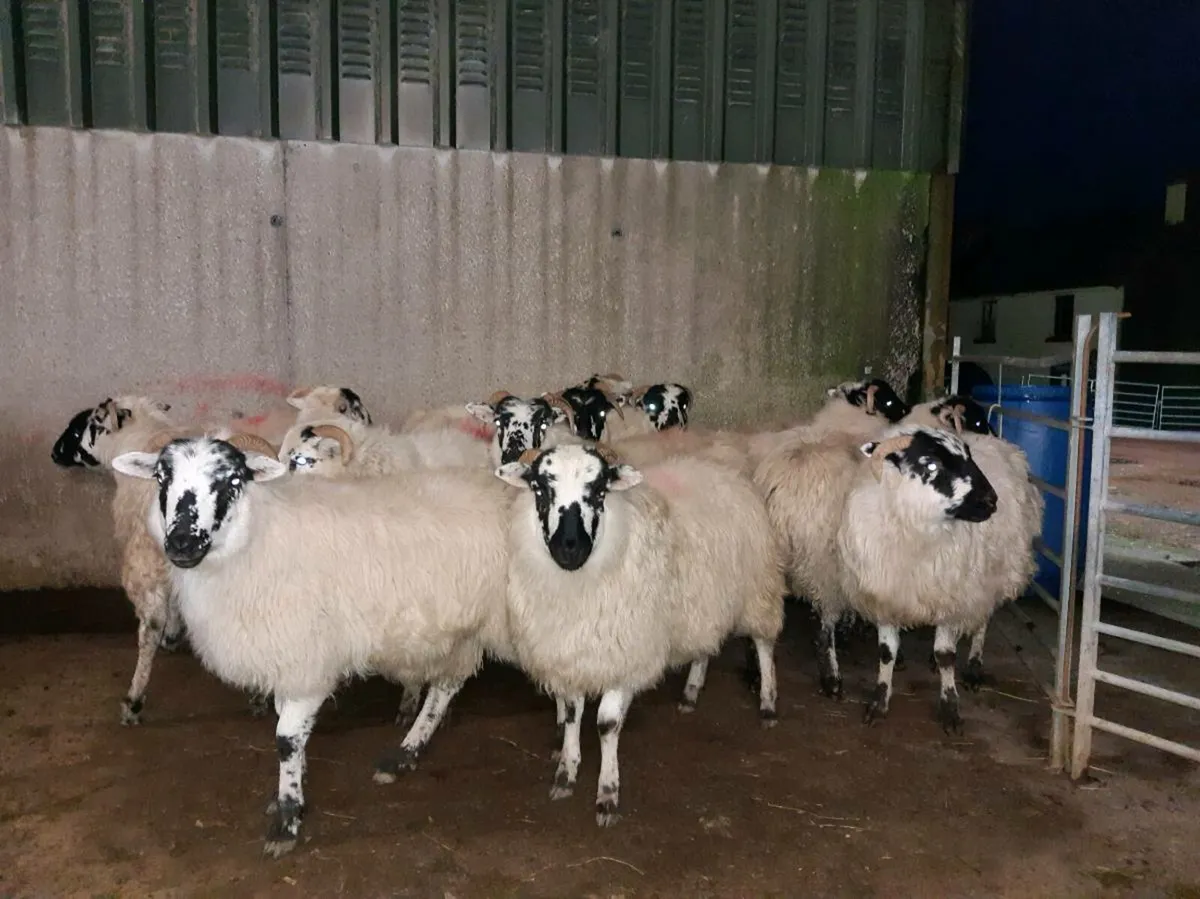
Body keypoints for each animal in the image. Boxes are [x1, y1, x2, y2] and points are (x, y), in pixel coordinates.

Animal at [50, 396, 279, 724]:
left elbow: (163, 613)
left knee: (150, 626)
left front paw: (170, 636)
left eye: (79, 428)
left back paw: (134, 699)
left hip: (145, 561)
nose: (54, 453)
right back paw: (259, 692)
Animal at [111, 434, 515, 857]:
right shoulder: (287, 658)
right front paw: (293, 794)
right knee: (446, 685)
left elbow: (287, 738)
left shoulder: (308, 658)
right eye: (161, 477)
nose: (182, 544)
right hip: (459, 630)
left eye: (233, 480)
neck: (258, 538)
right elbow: (291, 727)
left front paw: (287, 818)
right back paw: (406, 753)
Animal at [495, 443, 786, 827]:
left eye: (598, 492)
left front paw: (607, 794)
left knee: (765, 643)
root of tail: (724, 470)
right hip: (702, 602)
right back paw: (691, 692)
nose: (569, 548)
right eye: (541, 490)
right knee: (704, 647)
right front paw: (566, 774)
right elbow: (572, 715)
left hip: (758, 588)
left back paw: (767, 703)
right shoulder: (571, 654)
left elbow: (606, 724)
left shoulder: (626, 652)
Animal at [838, 425, 1040, 733]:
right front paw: (879, 700)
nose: (991, 501)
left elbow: (946, 655)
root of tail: (1003, 444)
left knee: (981, 622)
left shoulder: (952, 594)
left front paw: (949, 707)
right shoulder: (887, 595)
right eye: (931, 465)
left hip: (988, 578)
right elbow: (886, 652)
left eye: (968, 457)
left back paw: (974, 667)